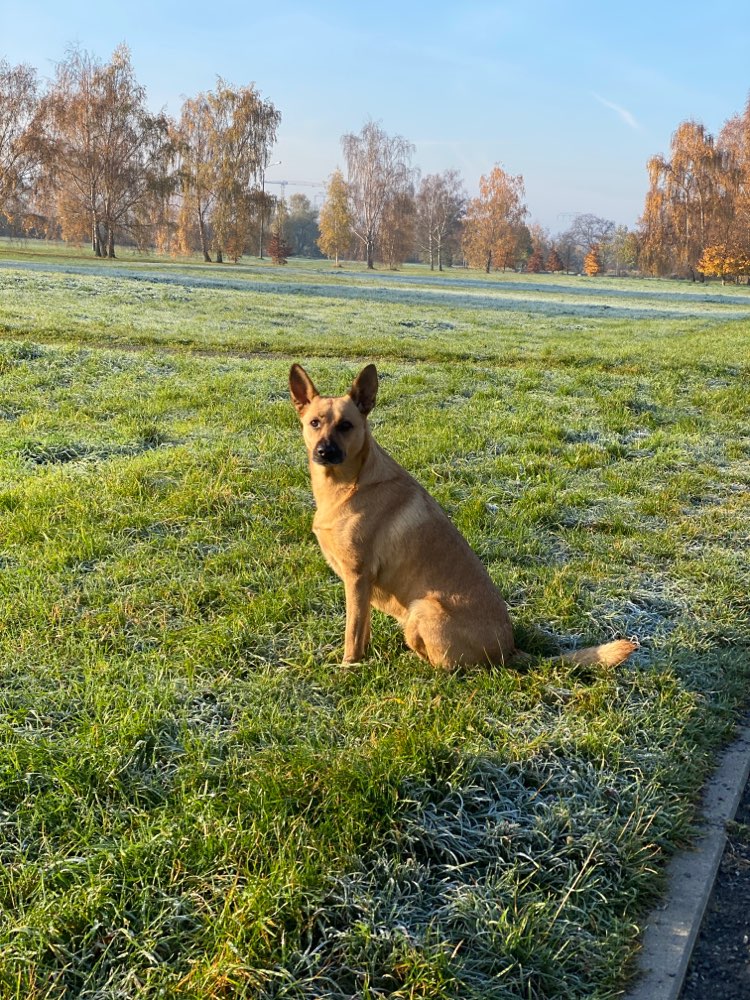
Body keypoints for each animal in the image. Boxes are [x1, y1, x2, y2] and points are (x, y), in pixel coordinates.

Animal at [290, 362, 636, 672]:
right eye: (315, 423)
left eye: (346, 426)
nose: (323, 452)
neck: (349, 484)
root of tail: (508, 651)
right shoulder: (361, 587)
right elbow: (363, 630)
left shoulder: (357, 578)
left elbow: (352, 632)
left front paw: (348, 666)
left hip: (422, 607)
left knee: (446, 667)